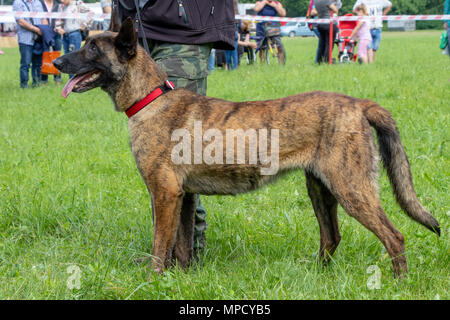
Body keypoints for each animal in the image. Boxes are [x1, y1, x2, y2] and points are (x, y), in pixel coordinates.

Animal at [52, 15, 440, 278]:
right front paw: (180, 278)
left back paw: (399, 283)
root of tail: (359, 104)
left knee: (395, 237)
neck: (150, 99)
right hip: (321, 189)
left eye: (91, 49)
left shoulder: (164, 194)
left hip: (352, 189)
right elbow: (181, 245)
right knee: (332, 236)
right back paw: (318, 276)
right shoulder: (184, 196)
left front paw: (153, 279)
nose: (55, 62)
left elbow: (160, 244)